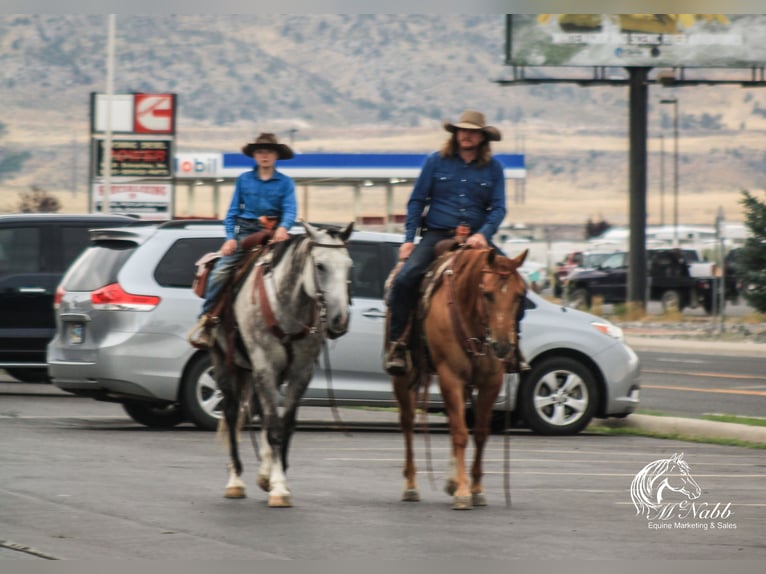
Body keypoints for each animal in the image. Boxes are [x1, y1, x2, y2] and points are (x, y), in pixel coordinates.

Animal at [210, 220, 354, 508]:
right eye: (320, 265)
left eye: (349, 264)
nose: (339, 320)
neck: (286, 306)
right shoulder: (265, 367)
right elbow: (274, 427)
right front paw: (278, 488)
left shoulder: (301, 372)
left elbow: (284, 425)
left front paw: (276, 480)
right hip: (226, 365)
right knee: (231, 414)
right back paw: (235, 481)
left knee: (264, 416)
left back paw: (263, 473)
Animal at [390, 245, 528, 510]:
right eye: (487, 294)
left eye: (520, 295)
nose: (503, 346)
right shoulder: (450, 377)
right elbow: (461, 433)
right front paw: (463, 492)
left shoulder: (491, 382)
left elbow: (480, 433)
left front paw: (476, 489)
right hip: (404, 378)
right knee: (408, 423)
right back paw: (411, 485)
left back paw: (450, 480)